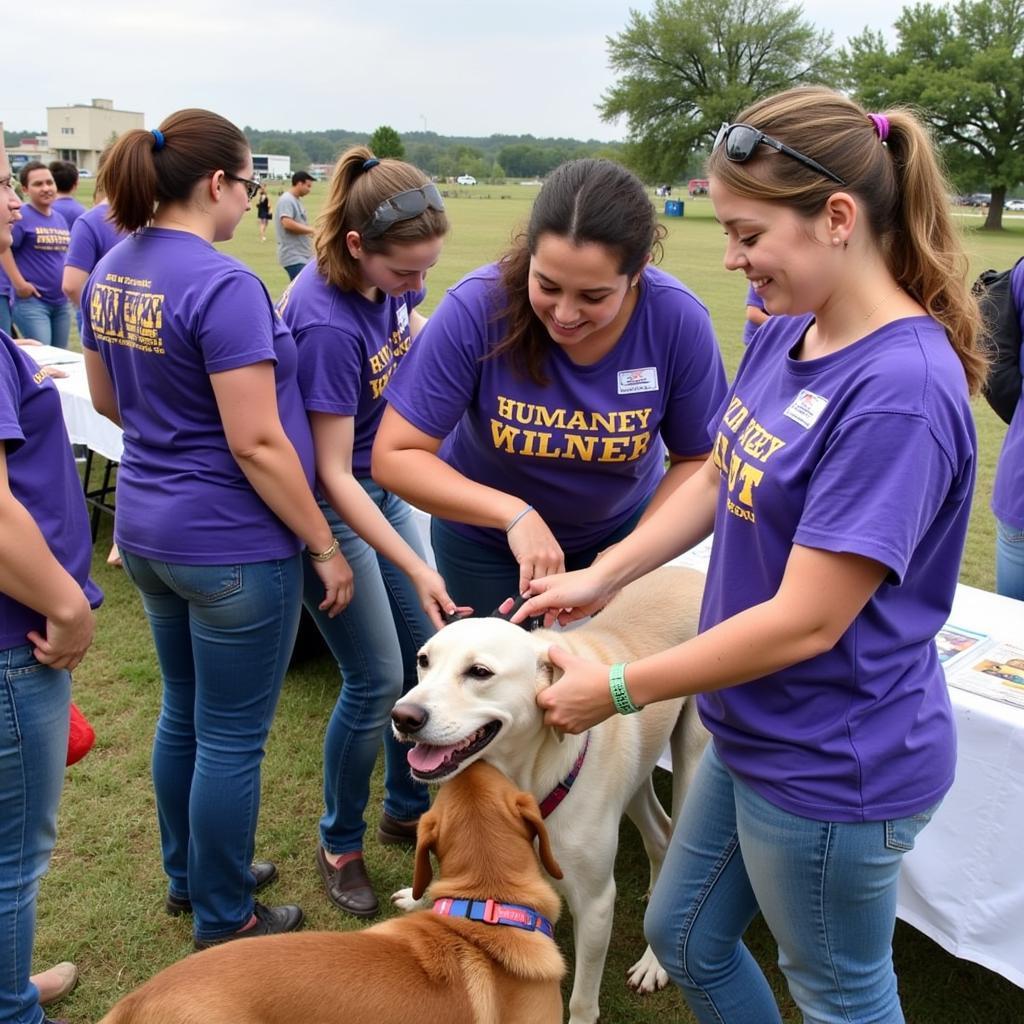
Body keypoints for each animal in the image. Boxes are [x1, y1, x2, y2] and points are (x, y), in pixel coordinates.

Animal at [387, 565, 708, 1024]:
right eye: (423, 661)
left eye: (479, 672)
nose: (403, 717)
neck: (526, 776)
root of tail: (693, 573)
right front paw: (417, 899)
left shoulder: (595, 903)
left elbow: (581, 998)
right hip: (637, 772)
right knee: (659, 833)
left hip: (693, 765)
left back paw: (653, 963)